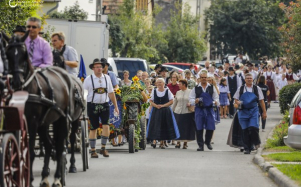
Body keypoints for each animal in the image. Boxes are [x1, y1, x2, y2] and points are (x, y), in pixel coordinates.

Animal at [1, 31, 85, 187]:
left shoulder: (32, 123)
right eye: (8, 53)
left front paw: (29, 179)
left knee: (62, 145)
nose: (17, 81)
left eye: (24, 54)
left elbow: (30, 151)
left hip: (65, 120)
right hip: (45, 123)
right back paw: (45, 177)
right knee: (49, 144)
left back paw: (60, 176)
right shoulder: (17, 120)